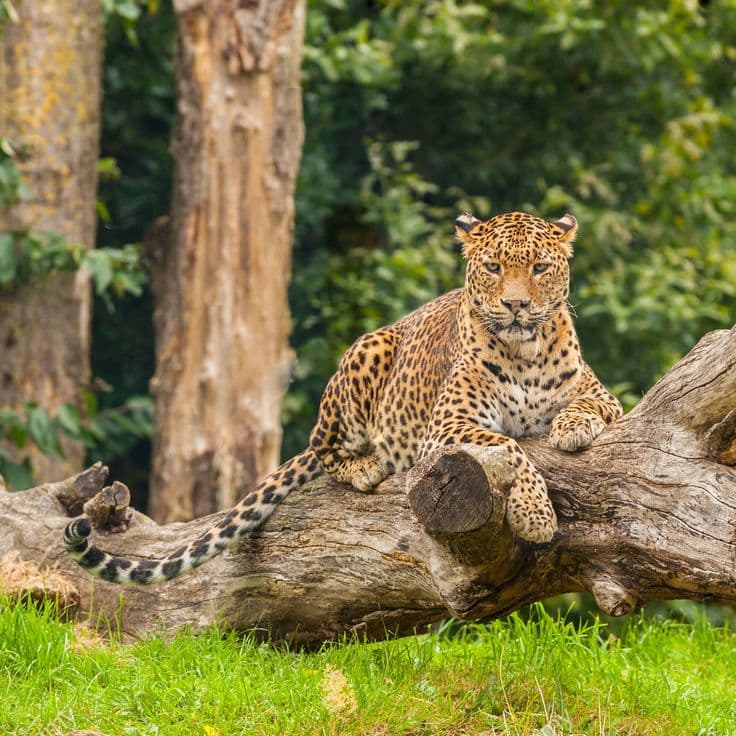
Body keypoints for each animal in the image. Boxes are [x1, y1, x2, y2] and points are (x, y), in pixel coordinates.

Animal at [64, 210, 622, 584]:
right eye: (492, 268)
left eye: (541, 268)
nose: (516, 305)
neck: (524, 351)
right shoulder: (447, 426)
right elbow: (511, 447)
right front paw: (536, 516)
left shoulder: (602, 393)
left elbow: (587, 405)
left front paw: (571, 428)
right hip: (365, 351)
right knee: (324, 446)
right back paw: (365, 466)